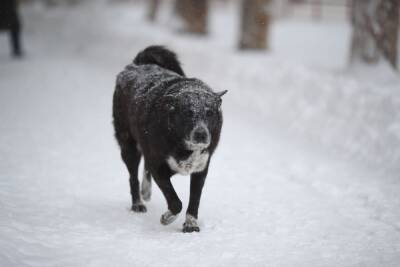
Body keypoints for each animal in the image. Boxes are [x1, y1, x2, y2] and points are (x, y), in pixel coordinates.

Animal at [113, 45, 225, 232]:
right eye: (188, 113)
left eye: (209, 112)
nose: (201, 134)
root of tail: (137, 65)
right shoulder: (159, 167)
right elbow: (175, 202)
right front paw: (167, 218)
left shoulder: (201, 170)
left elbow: (194, 201)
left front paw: (191, 224)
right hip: (129, 146)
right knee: (133, 176)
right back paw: (138, 203)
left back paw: (146, 192)